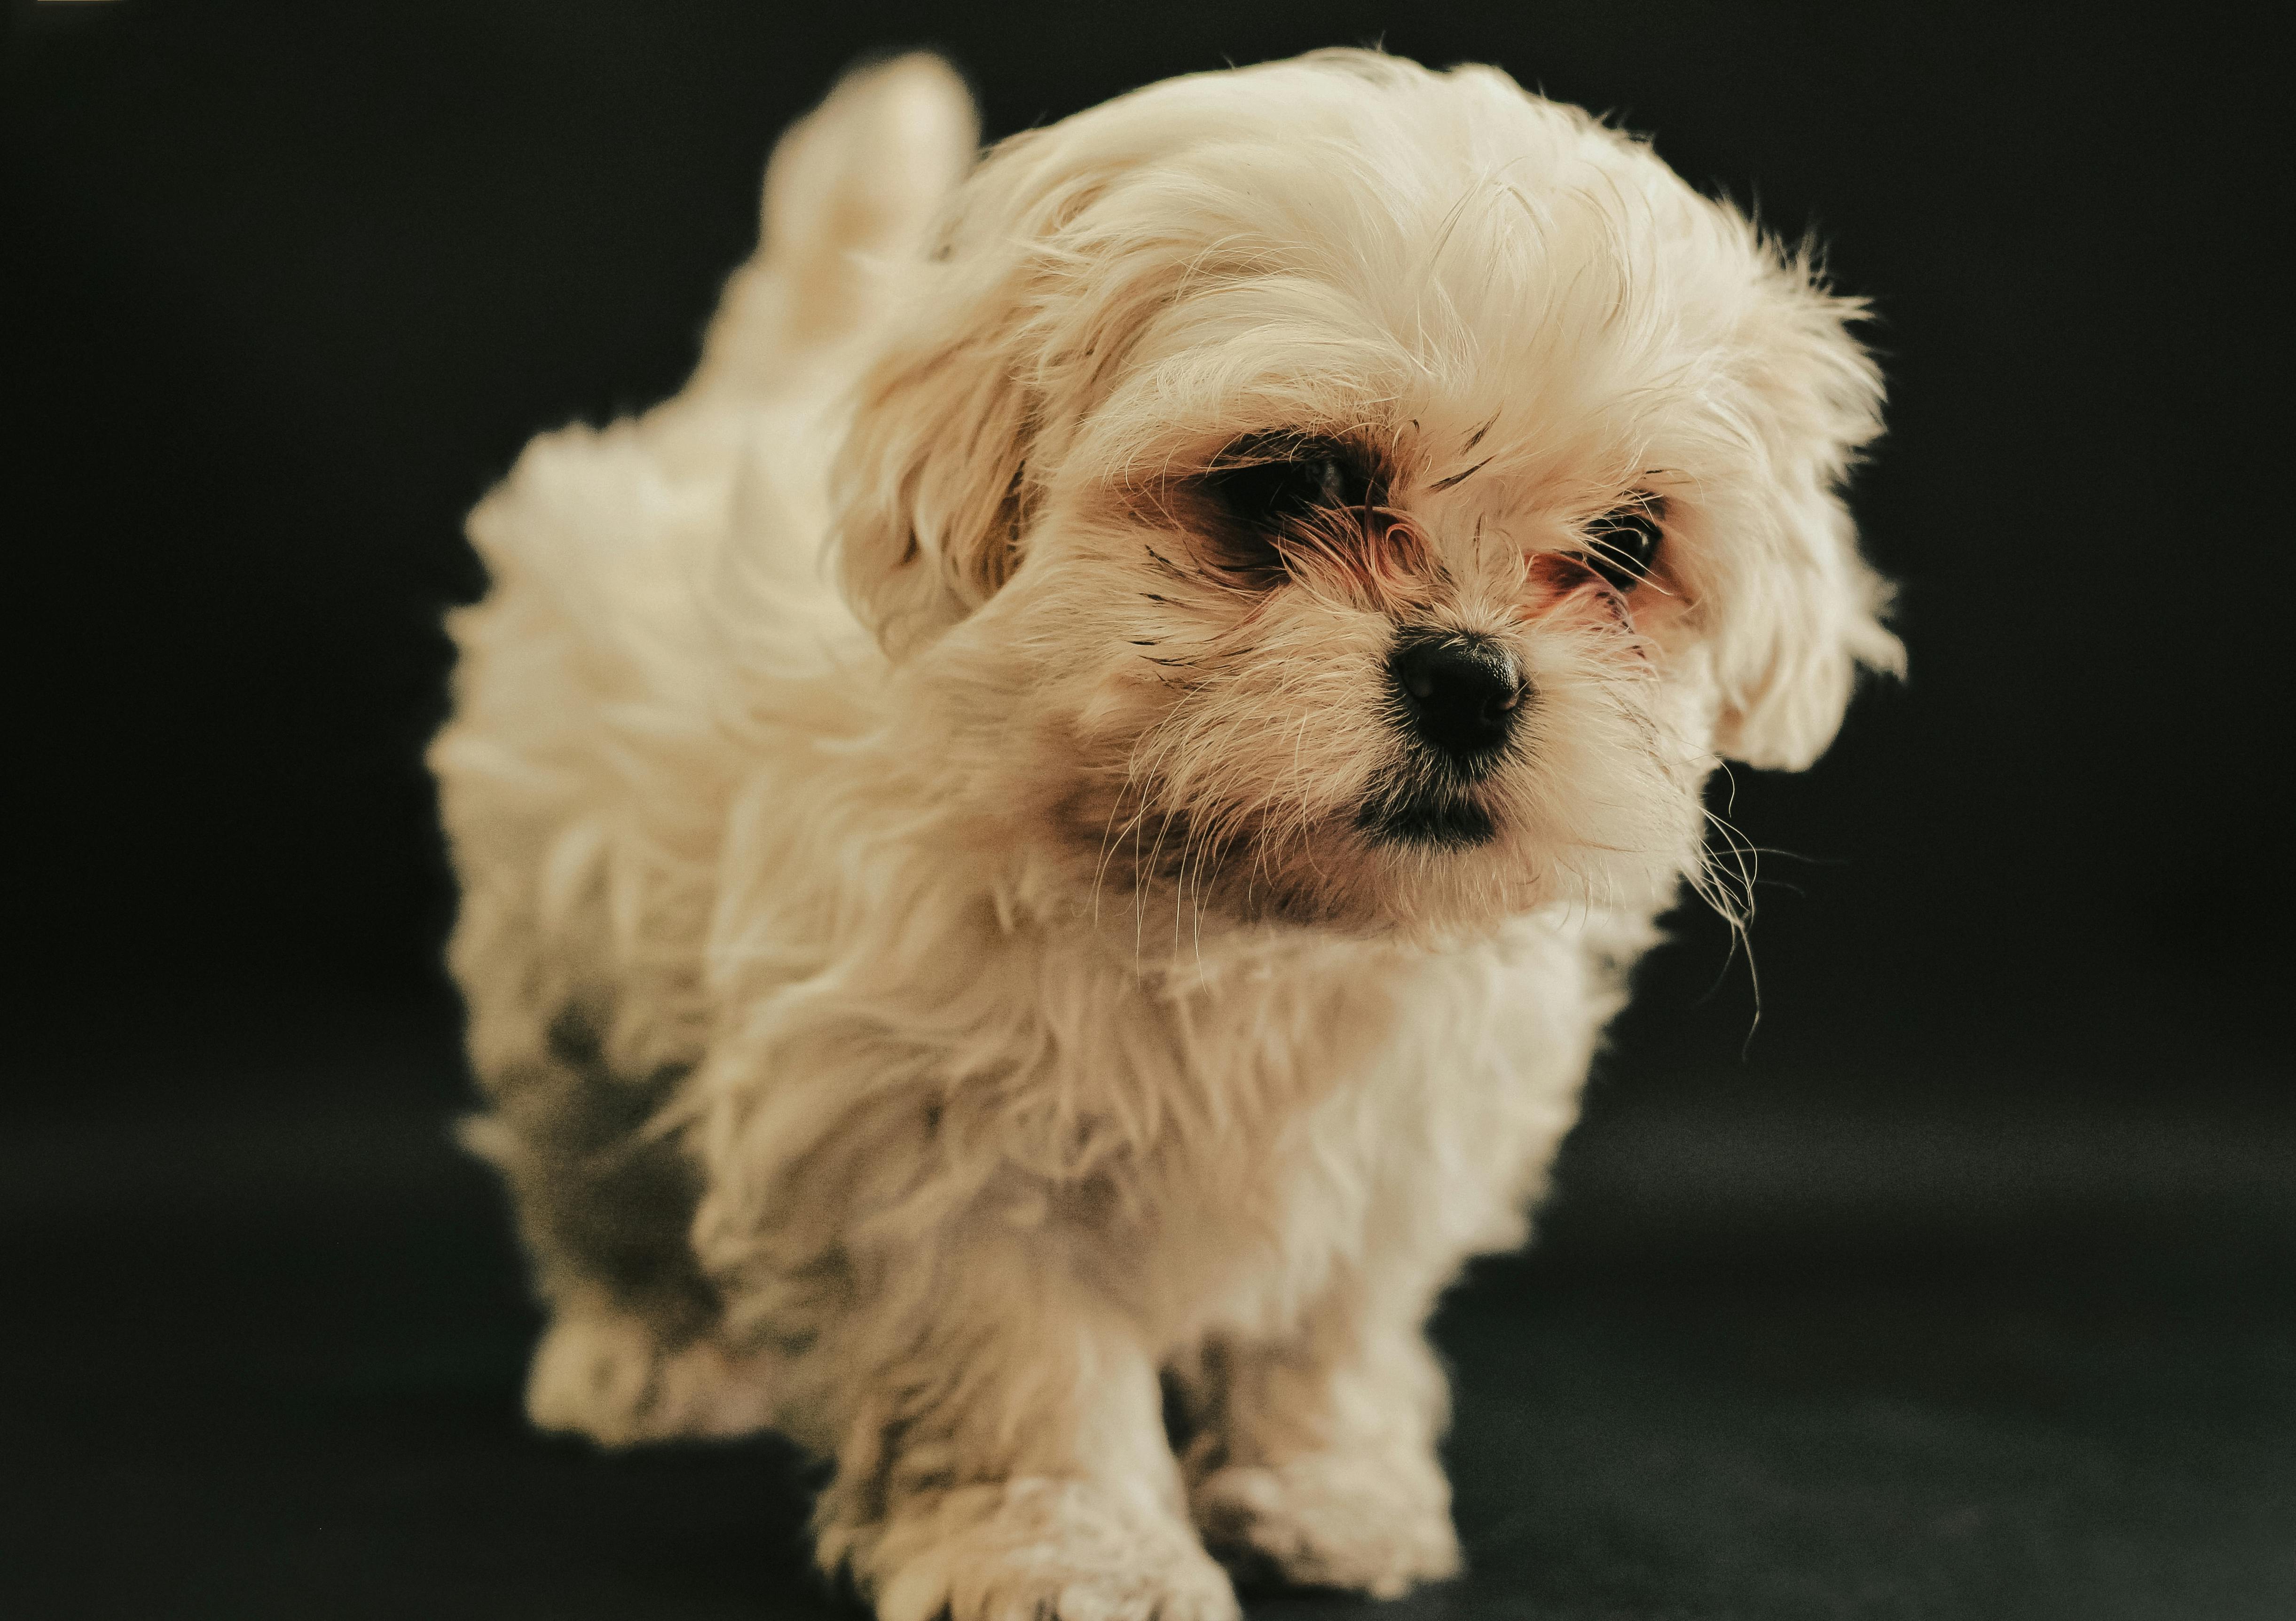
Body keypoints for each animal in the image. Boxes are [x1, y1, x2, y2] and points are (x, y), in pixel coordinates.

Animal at [432, 47, 1901, 1616]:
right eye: (1288, 483)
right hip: (560, 968)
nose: (1470, 672)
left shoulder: (1390, 1144)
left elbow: (1324, 1327)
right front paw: (1077, 1552)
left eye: (1629, 545)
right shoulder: (928, 1137)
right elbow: (1021, 1365)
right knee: (594, 1172)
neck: (1234, 903)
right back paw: (645, 1353)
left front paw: (1327, 1490)